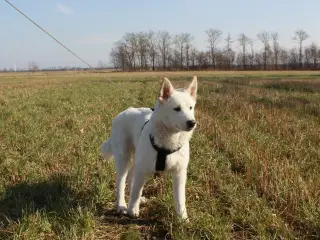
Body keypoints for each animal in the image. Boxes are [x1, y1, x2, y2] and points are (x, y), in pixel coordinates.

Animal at [100, 76, 198, 220]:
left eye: (191, 108)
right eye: (177, 109)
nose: (192, 123)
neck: (169, 139)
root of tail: (123, 113)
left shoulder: (179, 172)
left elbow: (180, 199)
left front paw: (182, 218)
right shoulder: (142, 169)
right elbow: (136, 191)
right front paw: (132, 210)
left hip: (137, 161)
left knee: (131, 178)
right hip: (124, 159)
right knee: (121, 183)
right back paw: (122, 206)